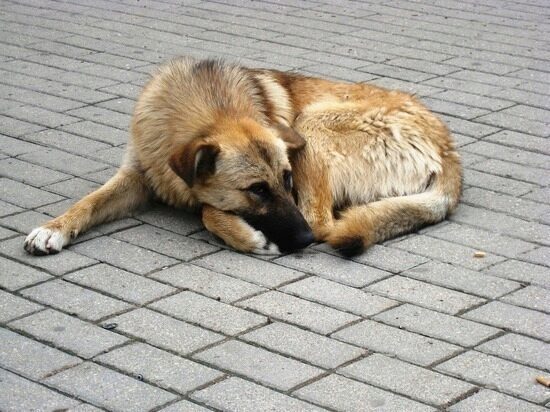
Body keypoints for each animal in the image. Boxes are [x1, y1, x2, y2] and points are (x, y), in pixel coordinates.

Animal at [23, 57, 464, 258]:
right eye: (257, 190)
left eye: (286, 179)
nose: (301, 242)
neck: (208, 107)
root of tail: (449, 153)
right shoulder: (137, 174)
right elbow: (88, 202)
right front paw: (53, 228)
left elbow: (206, 210)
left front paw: (248, 236)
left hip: (311, 125)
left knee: (322, 221)